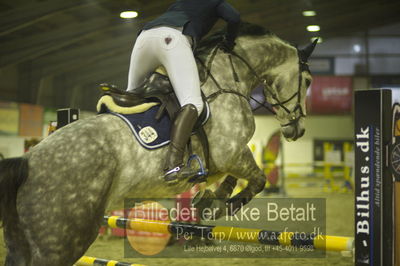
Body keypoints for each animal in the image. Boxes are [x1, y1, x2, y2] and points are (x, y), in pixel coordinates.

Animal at [0, 23, 316, 264]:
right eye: (309, 81)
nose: (297, 128)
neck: (227, 79)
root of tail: (26, 161)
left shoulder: (227, 158)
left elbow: (233, 178)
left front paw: (208, 201)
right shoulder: (231, 153)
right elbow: (258, 180)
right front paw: (216, 207)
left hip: (23, 240)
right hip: (61, 239)